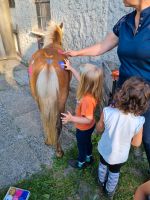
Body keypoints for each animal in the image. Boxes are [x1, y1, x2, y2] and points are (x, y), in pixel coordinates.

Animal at [29, 21, 72, 157]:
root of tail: (48, 63)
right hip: (61, 99)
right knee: (58, 123)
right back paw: (59, 151)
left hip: (37, 97)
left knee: (44, 117)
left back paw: (48, 141)